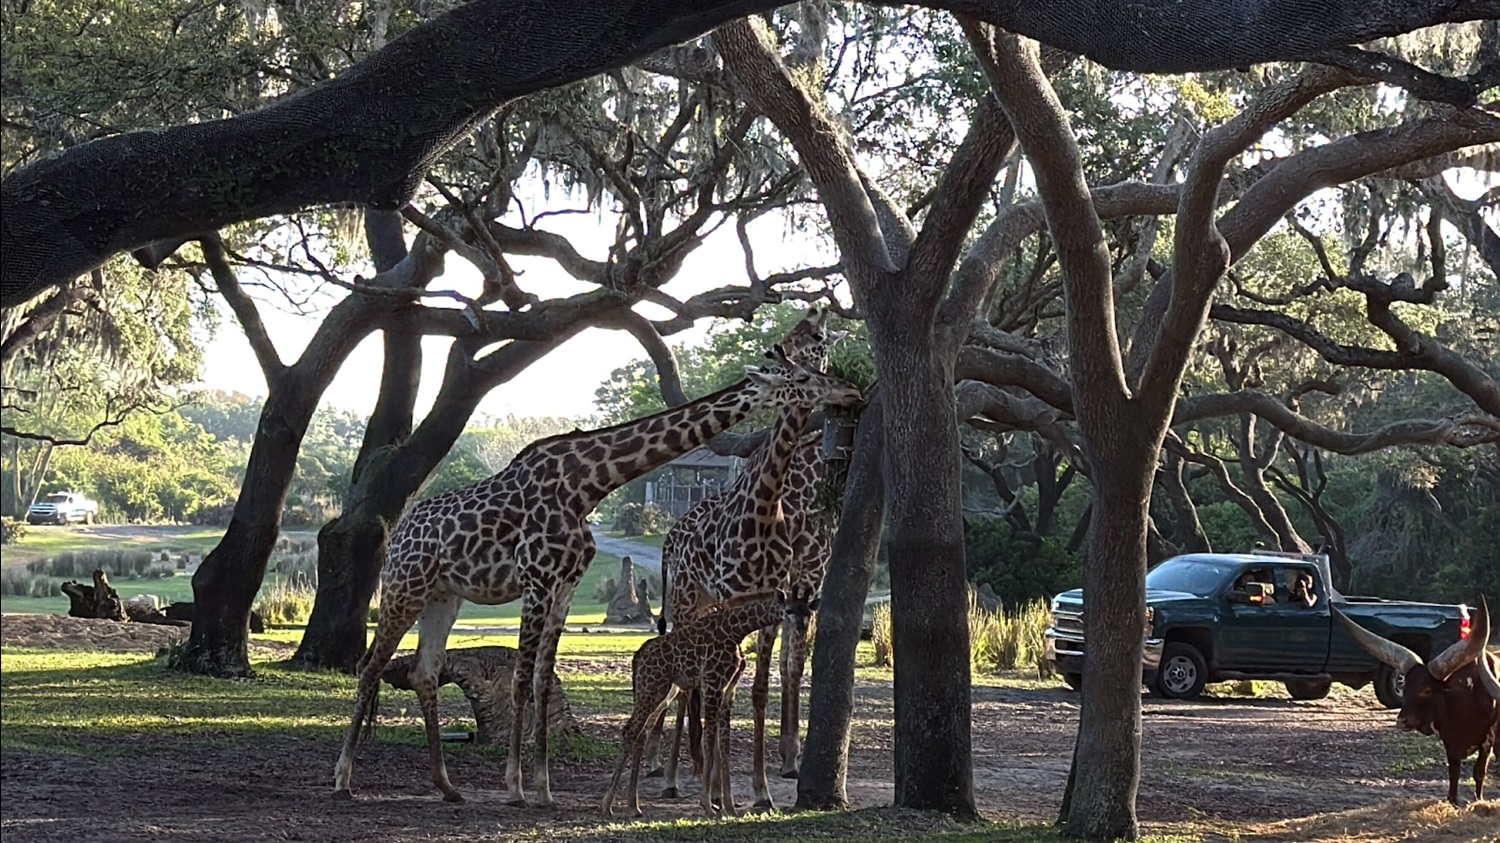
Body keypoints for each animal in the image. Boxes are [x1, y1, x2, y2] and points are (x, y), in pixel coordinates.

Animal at [600, 586, 818, 819]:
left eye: (807, 612)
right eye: (788, 610)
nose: (801, 629)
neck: (737, 630)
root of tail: (637, 658)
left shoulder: (727, 689)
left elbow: (724, 744)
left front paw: (729, 807)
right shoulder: (713, 684)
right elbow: (709, 740)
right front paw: (708, 804)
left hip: (663, 692)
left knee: (642, 733)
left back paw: (634, 806)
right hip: (650, 687)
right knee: (630, 731)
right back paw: (608, 805)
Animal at [649, 310, 853, 808]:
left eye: (817, 336)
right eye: (792, 335)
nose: (776, 355)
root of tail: (672, 534)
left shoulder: (801, 582)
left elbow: (778, 673)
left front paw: (778, 770)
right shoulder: (764, 591)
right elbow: (735, 686)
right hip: (686, 599)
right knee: (681, 671)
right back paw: (667, 772)